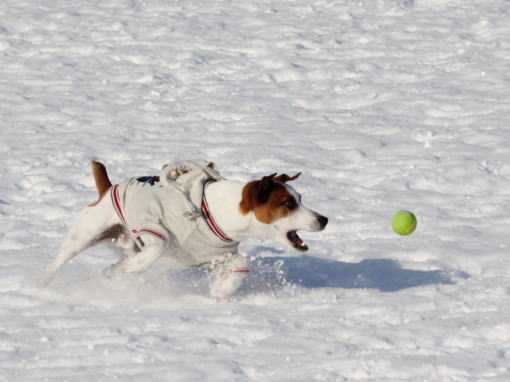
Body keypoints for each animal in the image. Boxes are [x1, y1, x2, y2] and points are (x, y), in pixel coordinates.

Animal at [41, 160, 328, 296]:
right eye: (288, 203)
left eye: (300, 198)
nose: (324, 219)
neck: (217, 209)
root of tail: (107, 189)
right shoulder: (150, 222)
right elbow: (158, 245)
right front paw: (137, 266)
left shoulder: (217, 255)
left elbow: (241, 265)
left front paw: (221, 290)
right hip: (84, 235)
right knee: (55, 265)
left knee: (111, 267)